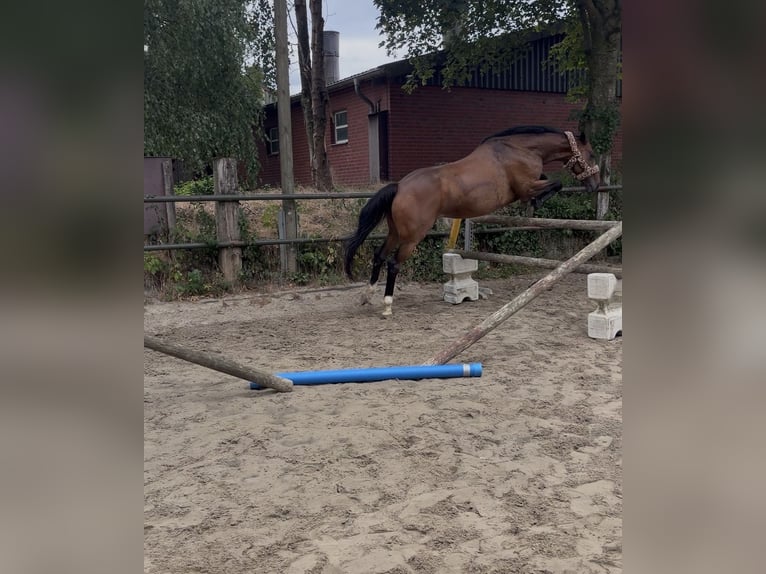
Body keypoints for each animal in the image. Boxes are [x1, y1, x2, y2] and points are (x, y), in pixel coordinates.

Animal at [344, 126, 601, 316]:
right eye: (591, 154)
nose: (595, 185)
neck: (521, 149)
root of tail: (399, 187)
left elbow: (550, 181)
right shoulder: (526, 187)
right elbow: (555, 184)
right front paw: (534, 204)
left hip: (396, 232)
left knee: (379, 255)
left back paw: (367, 295)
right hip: (412, 237)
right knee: (393, 263)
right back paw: (387, 304)